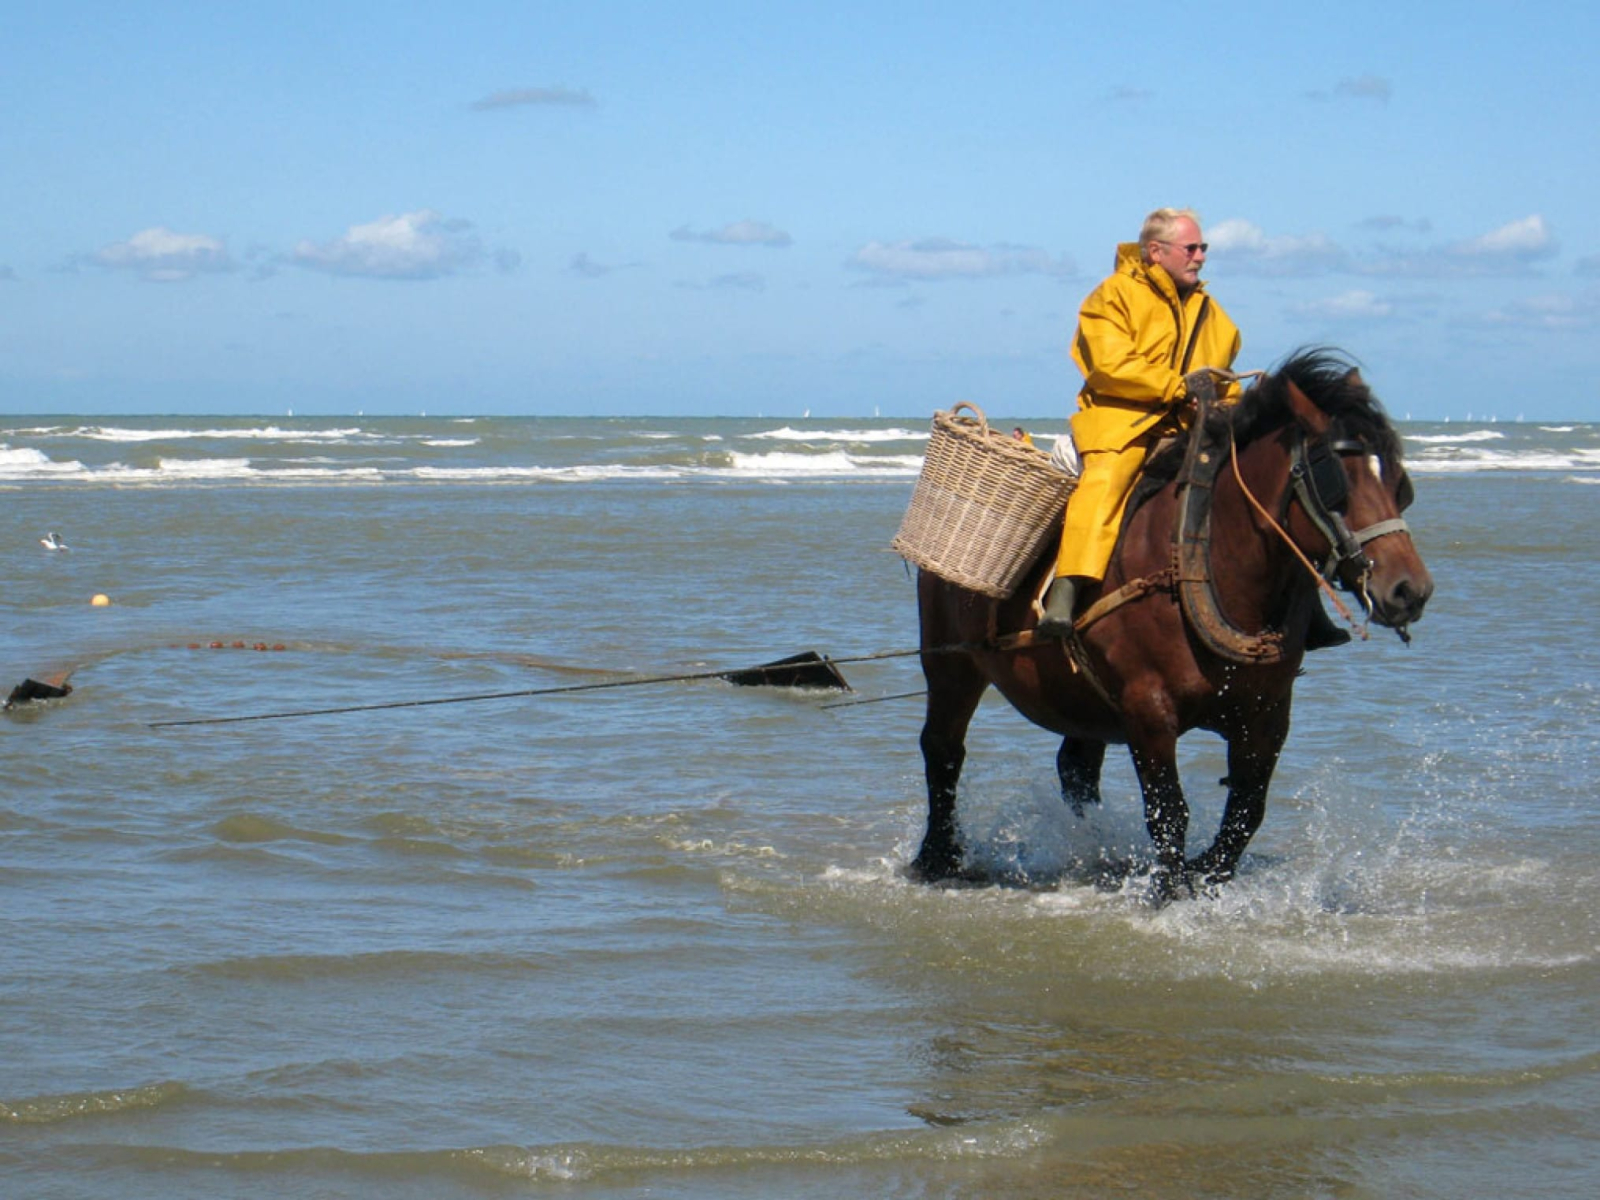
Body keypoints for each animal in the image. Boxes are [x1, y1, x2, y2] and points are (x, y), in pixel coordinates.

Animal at [910, 349, 1432, 896]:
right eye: (1338, 483)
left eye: (1399, 484)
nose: (1409, 590)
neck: (1198, 565)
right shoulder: (1148, 710)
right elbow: (1169, 813)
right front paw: (1170, 889)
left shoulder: (1267, 716)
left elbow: (1246, 812)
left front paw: (1205, 874)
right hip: (951, 667)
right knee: (943, 749)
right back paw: (938, 857)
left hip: (1078, 696)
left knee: (1076, 769)